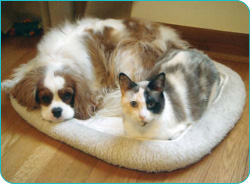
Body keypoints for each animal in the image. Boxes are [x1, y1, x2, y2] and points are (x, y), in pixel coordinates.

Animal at [1, 17, 188, 122]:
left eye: (67, 96)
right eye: (44, 98)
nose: (57, 111)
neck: (59, 56)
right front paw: (10, 84)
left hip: (126, 52)